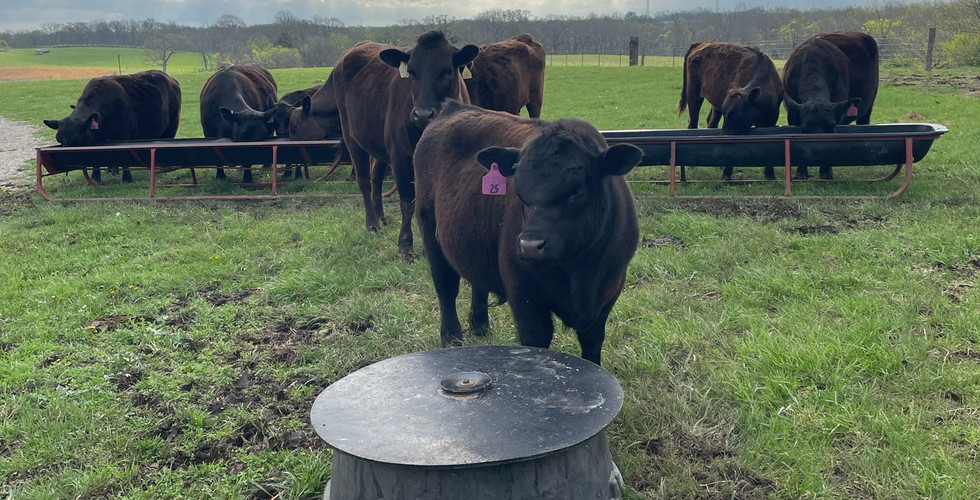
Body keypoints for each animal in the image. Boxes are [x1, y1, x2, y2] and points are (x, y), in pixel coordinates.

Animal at [43, 69, 181, 183]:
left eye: (76, 140)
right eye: (59, 140)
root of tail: (170, 78)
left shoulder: (124, 136)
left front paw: (127, 178)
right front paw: (96, 178)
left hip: (172, 126)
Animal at [332, 31, 479, 260]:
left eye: (447, 71)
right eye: (411, 72)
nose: (423, 114)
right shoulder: (401, 157)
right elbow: (408, 202)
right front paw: (405, 246)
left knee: (376, 177)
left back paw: (380, 216)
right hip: (351, 135)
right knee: (364, 180)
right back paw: (372, 223)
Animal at [414, 100, 643, 365]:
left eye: (577, 191)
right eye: (519, 192)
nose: (530, 246)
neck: (579, 271)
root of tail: (453, 107)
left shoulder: (609, 289)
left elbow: (592, 343)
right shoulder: (524, 294)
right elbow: (537, 340)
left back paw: (480, 326)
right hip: (430, 230)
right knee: (446, 287)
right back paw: (451, 338)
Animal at [677, 41, 783, 180]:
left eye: (735, 115)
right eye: (727, 114)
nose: (724, 137)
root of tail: (702, 44)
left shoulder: (772, 117)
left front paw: (770, 174)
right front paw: (726, 174)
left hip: (715, 103)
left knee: (711, 122)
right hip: (693, 94)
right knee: (692, 123)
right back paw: (692, 165)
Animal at [783, 31, 879, 179]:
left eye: (831, 127)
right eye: (805, 127)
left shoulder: (837, 116)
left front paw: (826, 171)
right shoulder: (793, 115)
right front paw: (801, 172)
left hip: (868, 105)